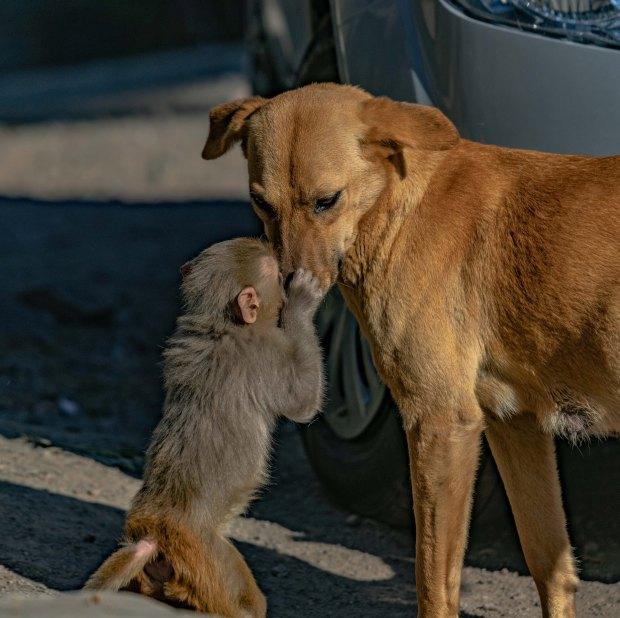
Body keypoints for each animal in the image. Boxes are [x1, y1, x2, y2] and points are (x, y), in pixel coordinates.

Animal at [86, 236, 324, 612]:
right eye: (277, 278)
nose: (287, 279)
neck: (220, 325)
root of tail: (153, 532)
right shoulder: (265, 353)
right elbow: (303, 402)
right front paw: (302, 301)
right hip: (207, 557)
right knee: (245, 602)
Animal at [201, 83, 616, 616]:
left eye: (326, 201)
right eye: (260, 203)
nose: (287, 292)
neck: (398, 208)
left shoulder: (441, 422)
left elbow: (435, 579)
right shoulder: (515, 424)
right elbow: (550, 564)